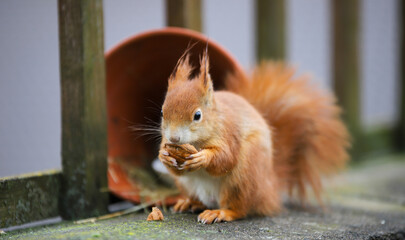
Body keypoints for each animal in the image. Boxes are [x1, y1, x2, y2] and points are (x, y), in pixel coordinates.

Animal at [158, 49, 350, 224]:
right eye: (162, 112)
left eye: (197, 115)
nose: (174, 139)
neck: (197, 141)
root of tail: (269, 190)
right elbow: (175, 167)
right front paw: (163, 156)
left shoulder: (229, 133)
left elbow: (226, 158)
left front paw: (202, 157)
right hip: (186, 185)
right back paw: (189, 203)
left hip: (244, 177)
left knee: (240, 208)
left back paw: (221, 212)